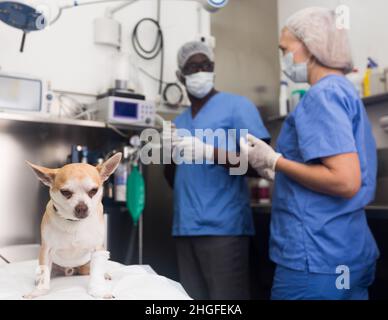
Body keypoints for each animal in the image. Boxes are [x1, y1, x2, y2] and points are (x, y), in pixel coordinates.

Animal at [23, 154, 123, 298]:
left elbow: (97, 272)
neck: (73, 222)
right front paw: (39, 291)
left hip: (86, 266)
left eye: (94, 191)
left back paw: (104, 274)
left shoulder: (98, 249)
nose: (82, 207)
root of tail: (70, 270)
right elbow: (44, 275)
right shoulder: (46, 250)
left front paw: (99, 291)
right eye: (65, 192)